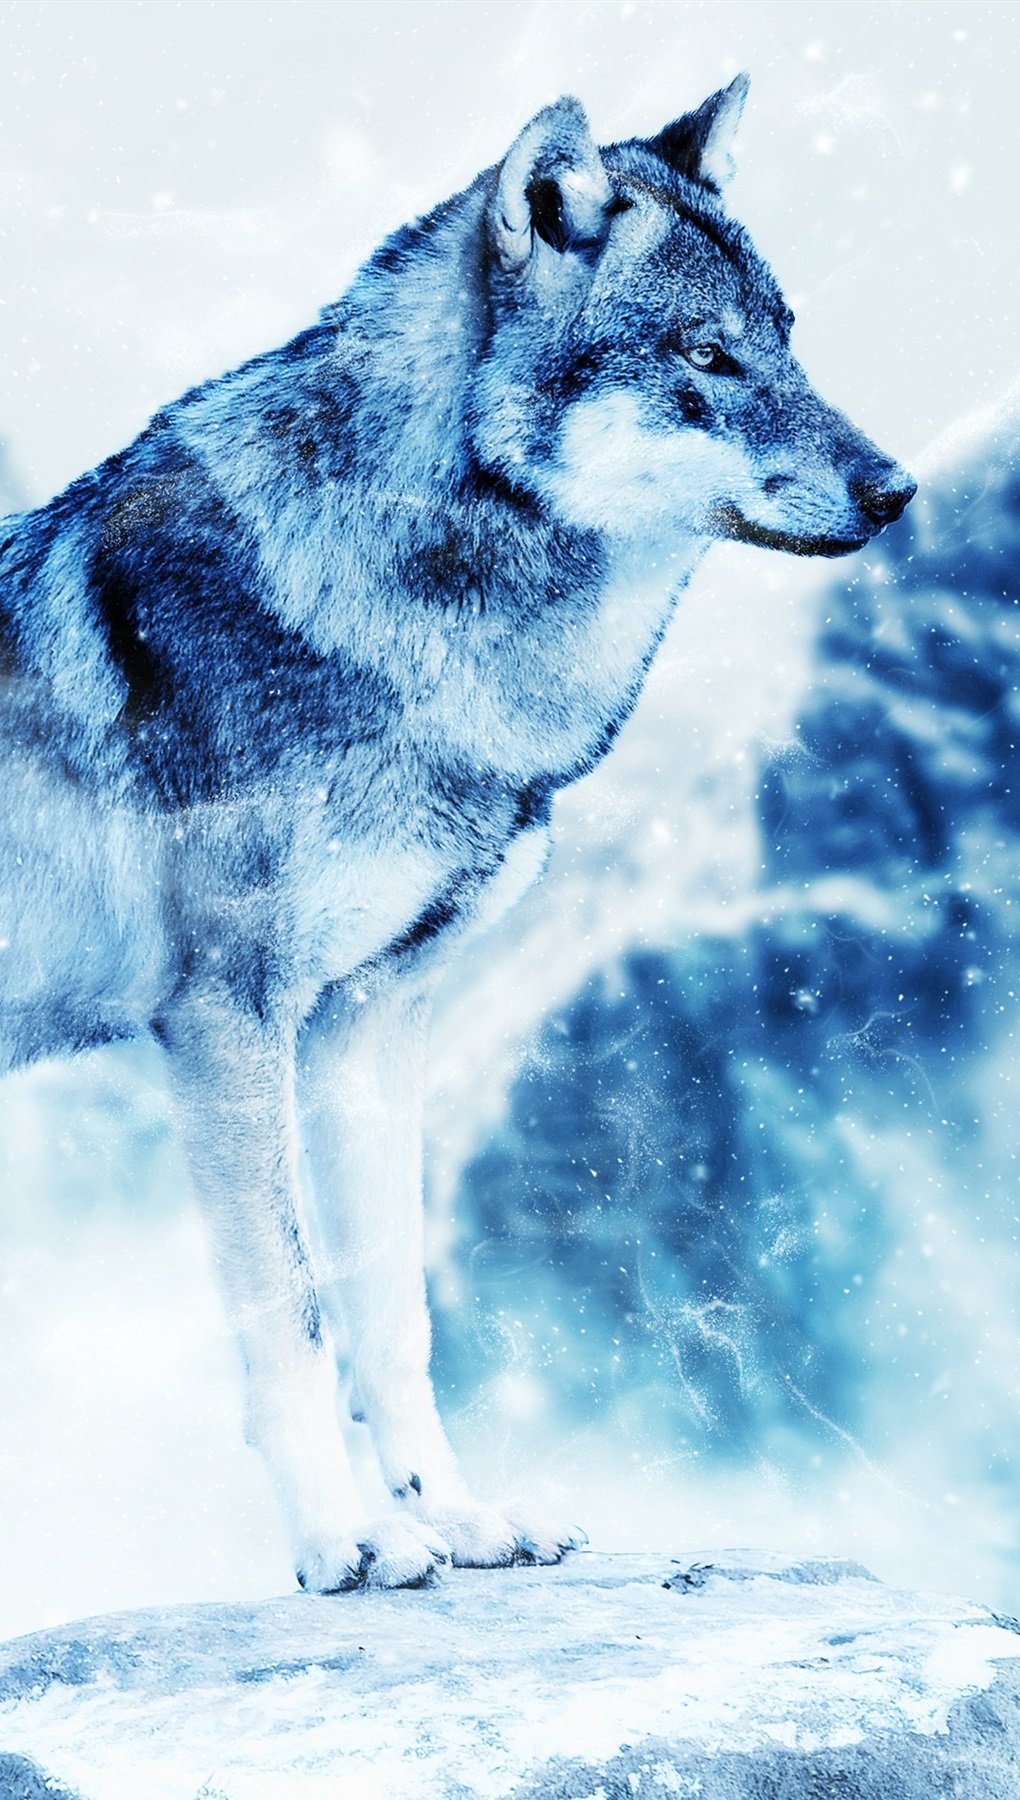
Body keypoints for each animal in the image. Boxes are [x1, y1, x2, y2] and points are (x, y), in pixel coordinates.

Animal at [0, 77, 914, 1591]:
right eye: (709, 355)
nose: (899, 489)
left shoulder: (371, 1017)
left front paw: (460, 1518)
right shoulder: (228, 1022)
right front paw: (346, 1541)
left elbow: (395, 1314)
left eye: (789, 337)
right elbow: (295, 1315)